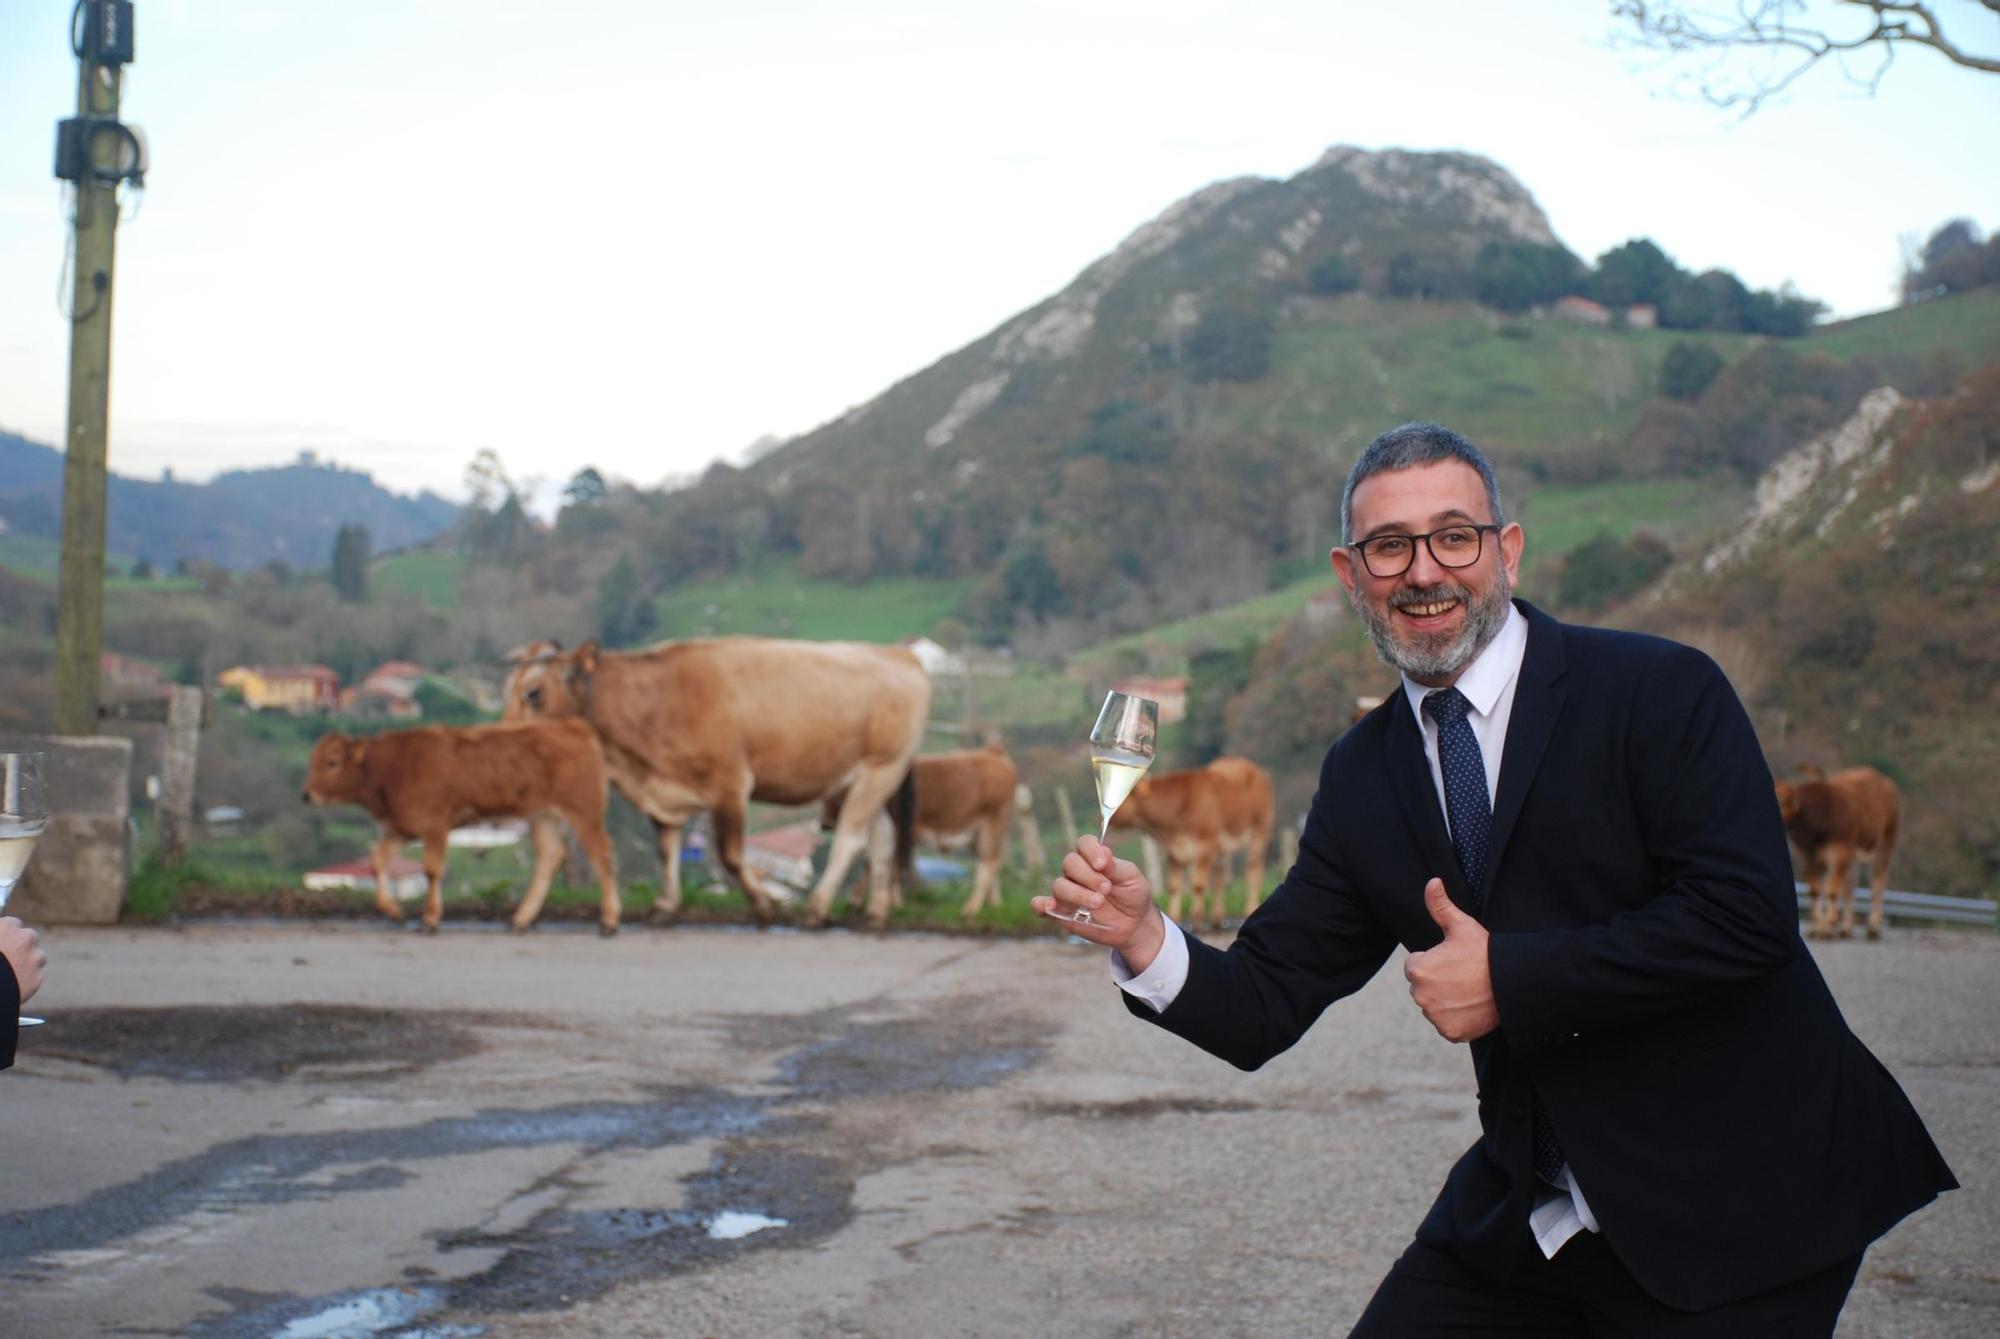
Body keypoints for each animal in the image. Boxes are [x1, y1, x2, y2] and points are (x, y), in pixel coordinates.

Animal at [300, 723, 616, 935]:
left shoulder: (434, 825)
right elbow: (376, 862)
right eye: (312, 761)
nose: (306, 795)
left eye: (332, 762)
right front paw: (394, 911)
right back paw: (521, 919)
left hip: (584, 812)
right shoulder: (401, 827)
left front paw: (430, 919)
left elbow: (431, 870)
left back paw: (609, 920)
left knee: (602, 857)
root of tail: (572, 726)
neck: (395, 767)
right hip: (543, 817)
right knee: (551, 857)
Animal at [508, 639, 928, 935]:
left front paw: (762, 907)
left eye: (533, 692)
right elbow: (666, 850)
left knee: (850, 841)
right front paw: (664, 906)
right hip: (863, 781)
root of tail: (899, 655)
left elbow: (730, 856)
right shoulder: (662, 790)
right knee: (882, 840)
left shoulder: (730, 784)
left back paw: (816, 909)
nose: (507, 736)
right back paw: (875, 914)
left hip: (880, 770)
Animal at [820, 743, 1024, 923]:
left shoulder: (899, 832)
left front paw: (891, 903)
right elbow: (876, 862)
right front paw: (860, 901)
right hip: (979, 834)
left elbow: (882, 863)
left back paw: (970, 909)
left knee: (989, 863)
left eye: (837, 798)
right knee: (992, 864)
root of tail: (991, 752)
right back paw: (994, 906)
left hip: (993, 825)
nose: (825, 824)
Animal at [1104, 755, 1272, 935]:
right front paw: (1175, 918)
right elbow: (1174, 886)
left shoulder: (1206, 846)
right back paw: (1216, 920)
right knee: (1220, 879)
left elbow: (1197, 885)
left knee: (1253, 871)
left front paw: (1196, 922)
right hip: (1222, 848)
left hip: (1259, 834)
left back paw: (1249, 908)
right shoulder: (1173, 852)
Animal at [1776, 767, 1896, 943]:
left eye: (1782, 801)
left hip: (1885, 843)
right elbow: (1815, 890)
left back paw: (1873, 928)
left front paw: (1827, 928)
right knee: (1850, 885)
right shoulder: (1808, 857)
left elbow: (1832, 890)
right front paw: (1817, 928)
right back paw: (1846, 928)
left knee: (1878, 882)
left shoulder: (1840, 852)